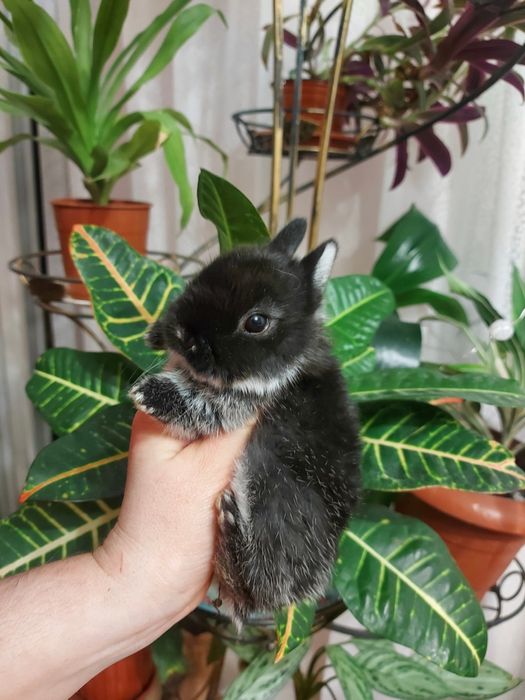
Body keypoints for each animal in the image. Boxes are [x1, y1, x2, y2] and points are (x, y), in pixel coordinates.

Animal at [130, 218, 361, 624]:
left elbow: (202, 404)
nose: (183, 335)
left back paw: (232, 522)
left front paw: (148, 394)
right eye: (203, 275)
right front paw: (154, 335)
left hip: (271, 494)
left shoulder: (243, 402)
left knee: (256, 581)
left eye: (256, 322)